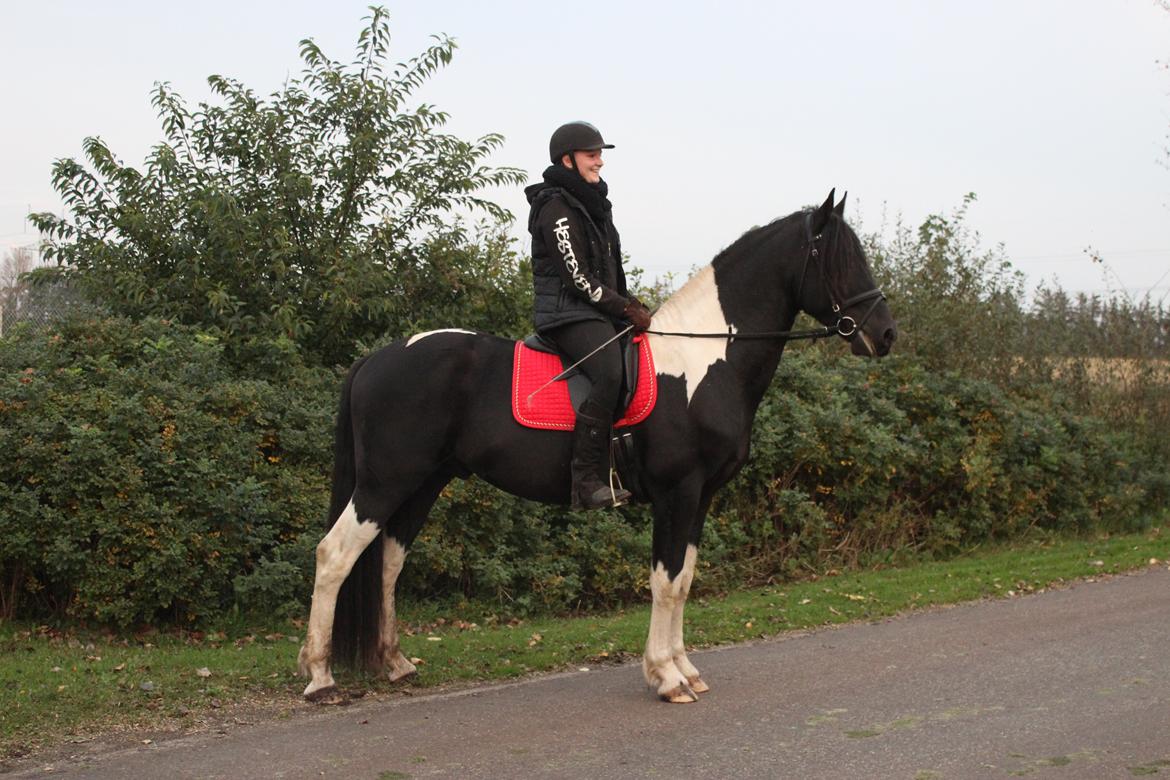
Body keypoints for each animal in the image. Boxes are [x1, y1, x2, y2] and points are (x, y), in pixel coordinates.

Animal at [299, 190, 893, 706]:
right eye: (837, 258)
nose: (884, 334)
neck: (704, 361)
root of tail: (377, 358)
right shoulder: (677, 492)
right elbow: (666, 581)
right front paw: (666, 677)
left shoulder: (701, 498)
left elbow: (685, 579)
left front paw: (686, 669)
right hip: (385, 482)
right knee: (335, 555)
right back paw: (320, 675)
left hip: (423, 483)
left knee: (387, 562)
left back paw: (395, 663)